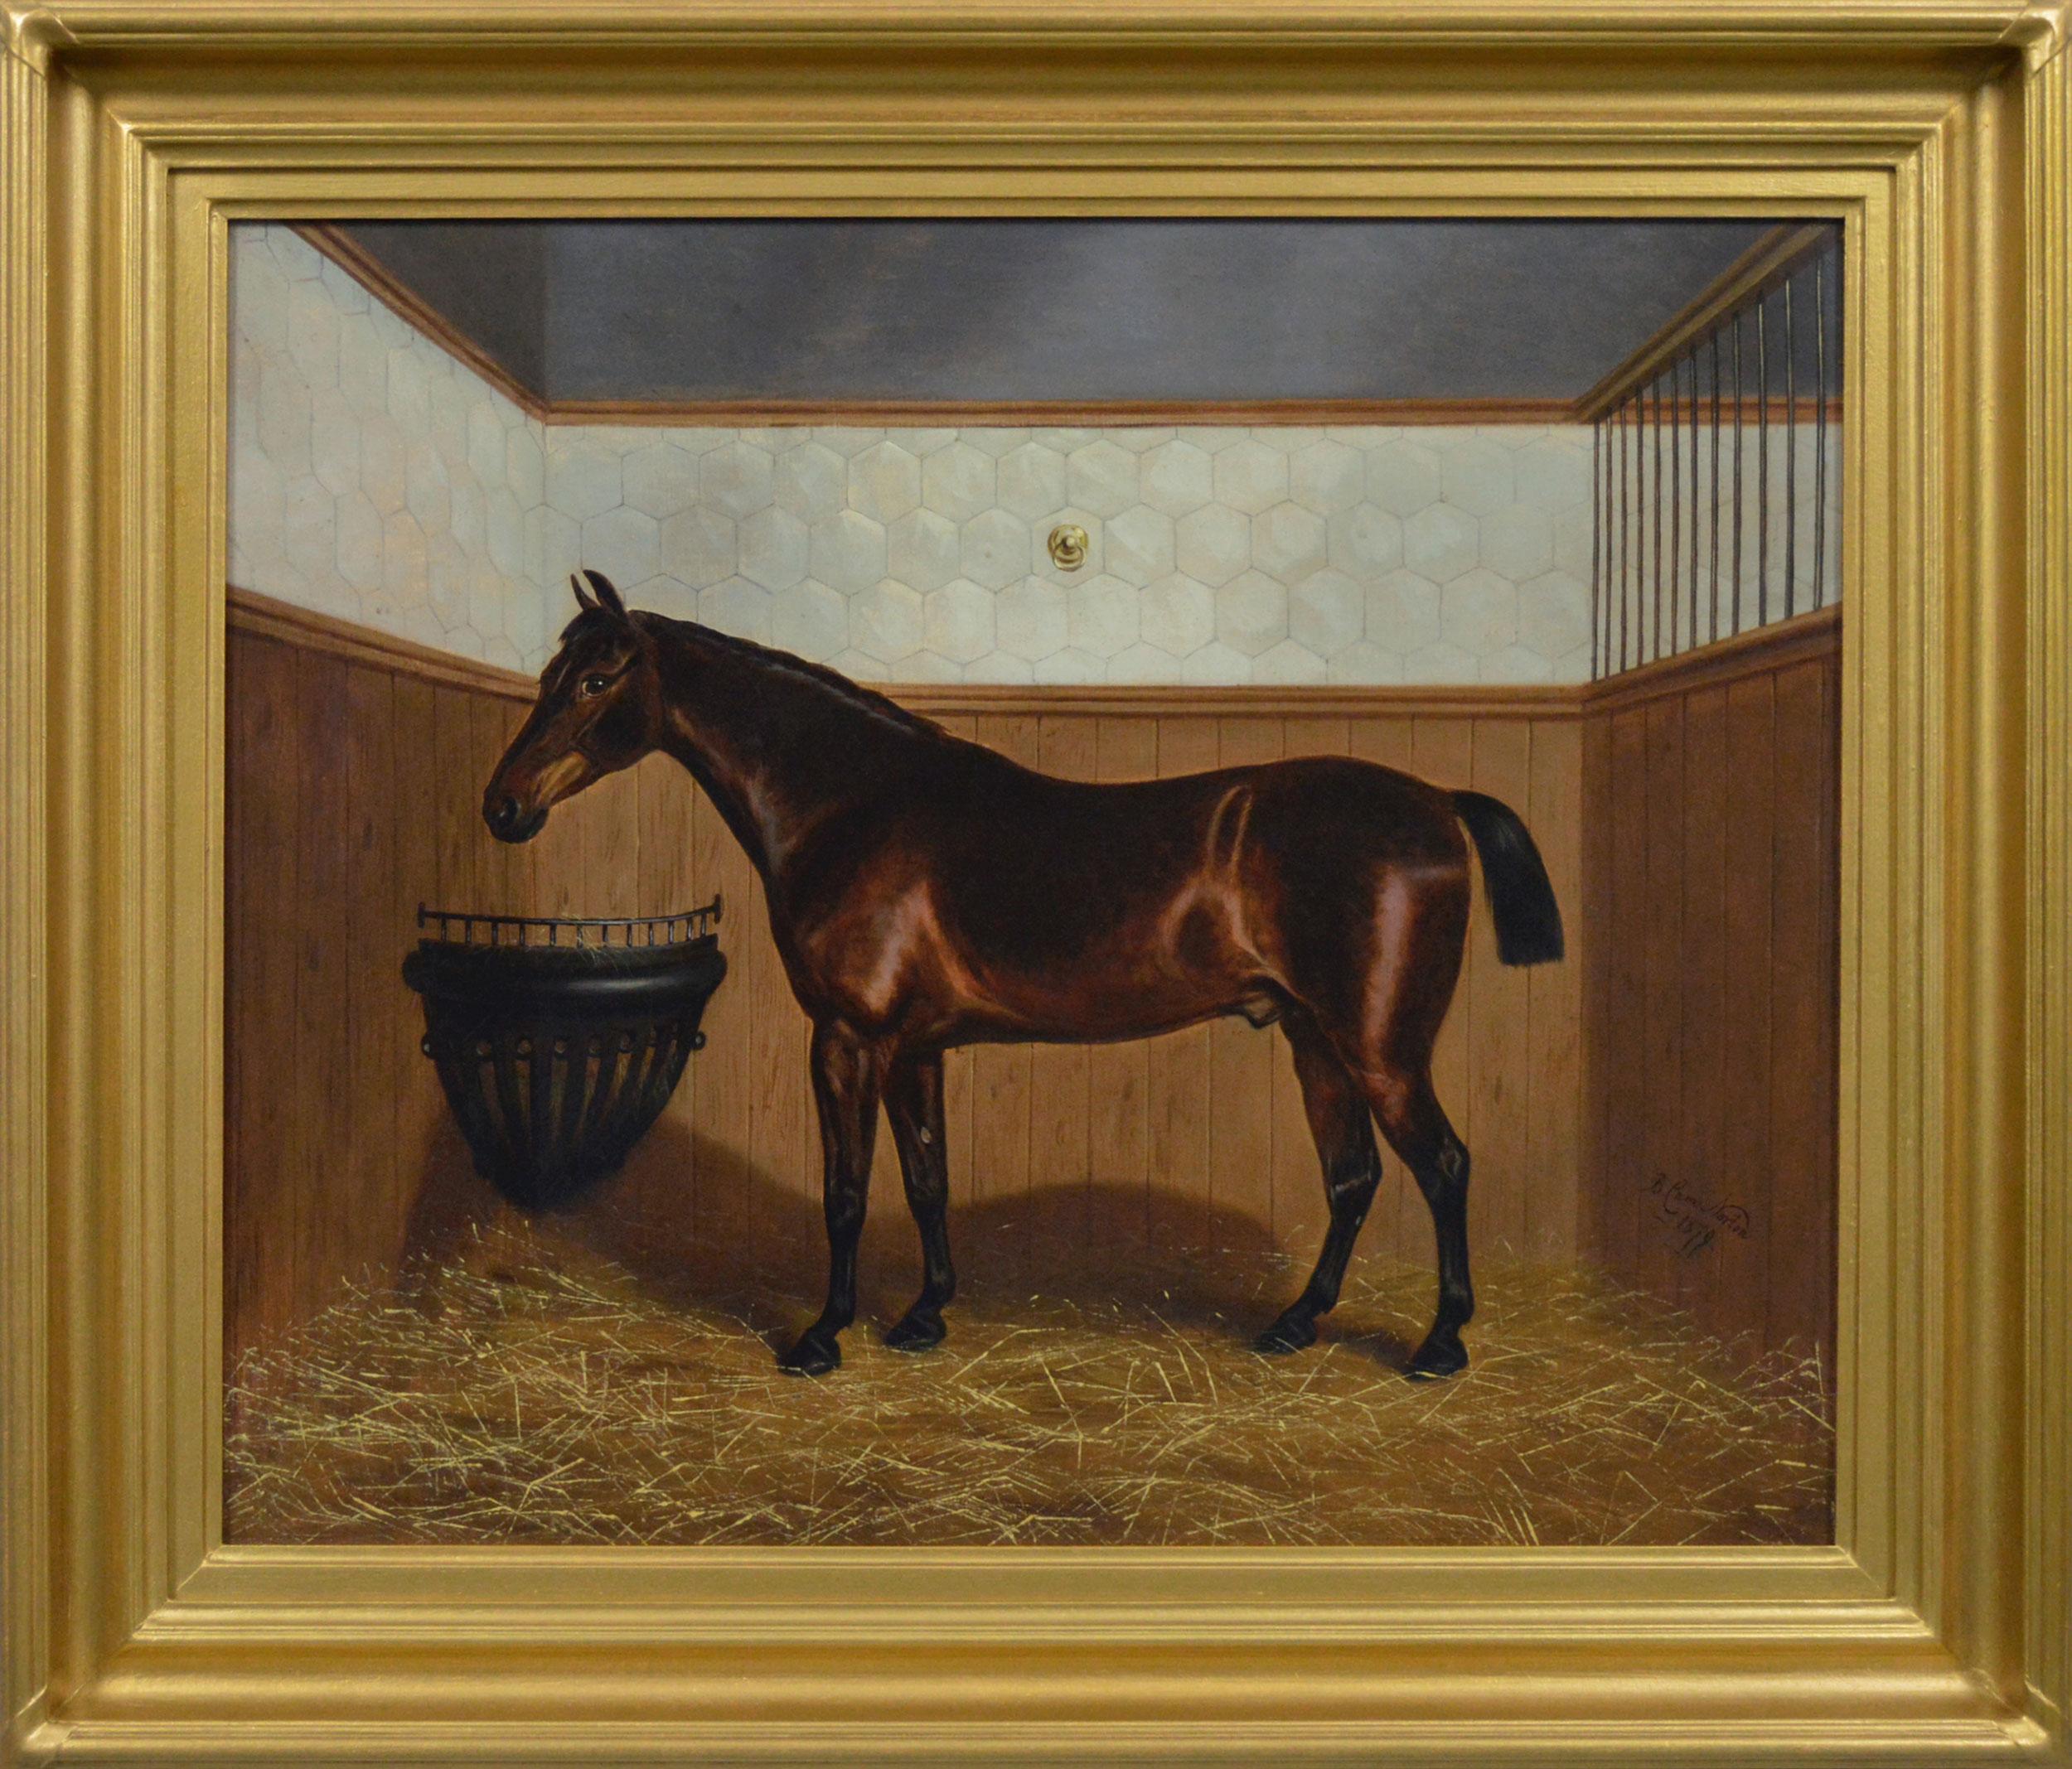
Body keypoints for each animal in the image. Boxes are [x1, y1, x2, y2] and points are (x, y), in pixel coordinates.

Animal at [484, 569, 1565, 1381]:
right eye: (549, 671)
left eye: (597, 678)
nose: (502, 806)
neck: (852, 806)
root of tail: (1436, 800)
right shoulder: (914, 1048)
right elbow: (925, 1179)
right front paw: (922, 1316)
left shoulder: (847, 1039)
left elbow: (846, 1189)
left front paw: (822, 1335)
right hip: (1315, 1042)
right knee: (1354, 1177)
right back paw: (1293, 1325)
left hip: (1380, 1049)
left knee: (1442, 1166)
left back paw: (1438, 1344)